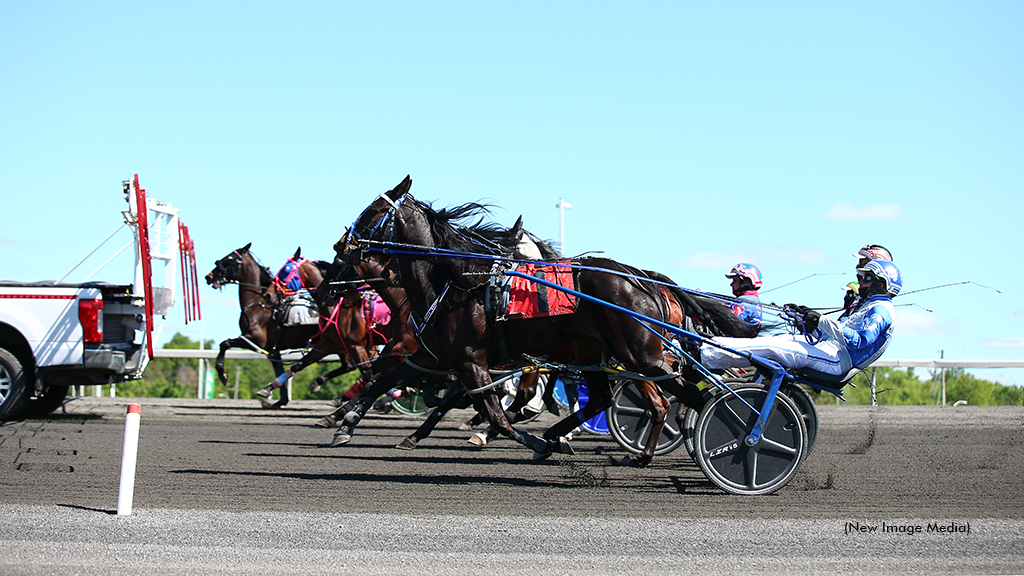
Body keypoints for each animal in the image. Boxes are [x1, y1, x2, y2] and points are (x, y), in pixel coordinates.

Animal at [209, 241, 329, 407]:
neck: (259, 305)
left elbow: (224, 344)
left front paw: (222, 374)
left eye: (229, 258)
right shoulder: (273, 350)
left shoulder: (255, 340)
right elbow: (278, 369)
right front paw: (280, 399)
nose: (208, 276)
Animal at [331, 175, 757, 461]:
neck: (459, 279)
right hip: (598, 352)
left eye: (372, 212)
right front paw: (346, 423)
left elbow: (496, 415)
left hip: (639, 354)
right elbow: (384, 380)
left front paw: (526, 439)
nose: (340, 245)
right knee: (617, 399)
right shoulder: (433, 356)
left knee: (686, 398)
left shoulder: (472, 360)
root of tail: (640, 277)